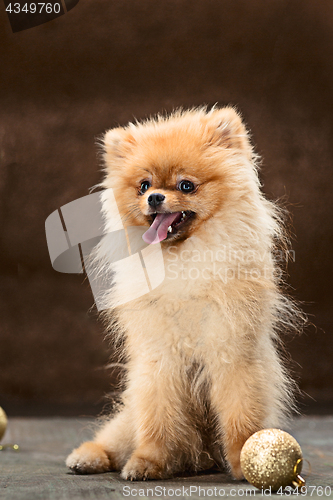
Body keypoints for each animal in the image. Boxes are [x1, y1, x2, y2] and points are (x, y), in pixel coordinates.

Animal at [66, 105, 300, 480]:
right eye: (143, 185)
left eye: (186, 185)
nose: (154, 197)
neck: (181, 258)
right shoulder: (159, 359)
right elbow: (157, 419)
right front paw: (149, 462)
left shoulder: (231, 352)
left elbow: (241, 414)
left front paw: (245, 460)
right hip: (128, 414)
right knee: (115, 437)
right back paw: (89, 456)